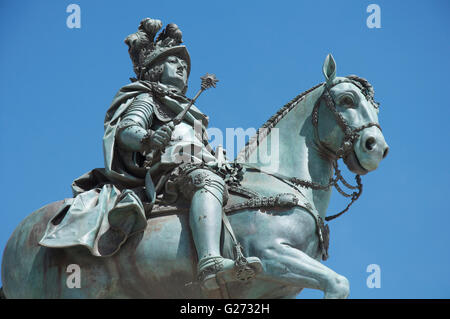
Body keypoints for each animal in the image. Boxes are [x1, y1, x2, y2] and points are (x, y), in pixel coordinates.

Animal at [0, 54, 386, 300]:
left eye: (374, 105)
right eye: (347, 99)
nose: (376, 147)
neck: (277, 182)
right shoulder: (272, 255)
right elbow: (339, 284)